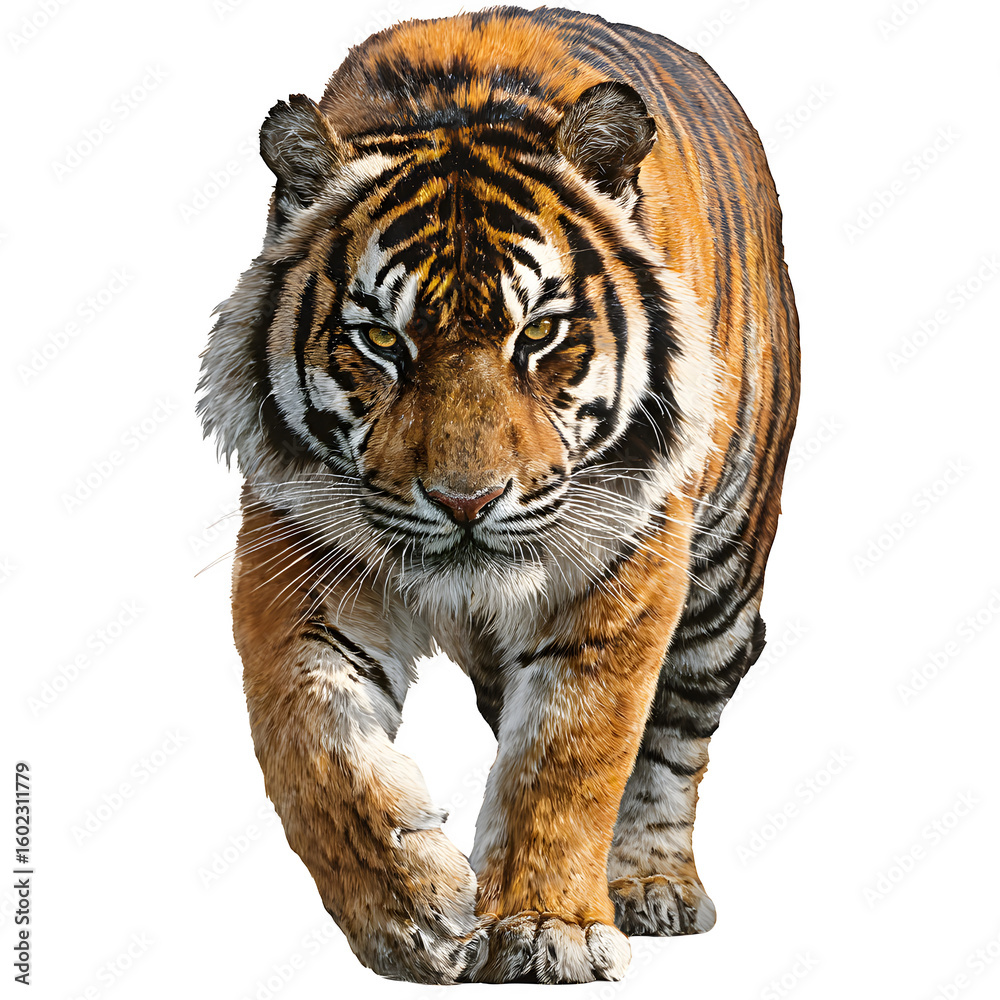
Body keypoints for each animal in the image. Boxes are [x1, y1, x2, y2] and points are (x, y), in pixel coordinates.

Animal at [198, 4, 800, 985]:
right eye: (380, 341)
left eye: (540, 333)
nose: (467, 502)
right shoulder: (298, 554)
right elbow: (318, 752)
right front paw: (418, 917)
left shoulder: (625, 555)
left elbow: (572, 749)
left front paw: (549, 927)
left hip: (723, 574)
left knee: (679, 725)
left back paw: (651, 886)